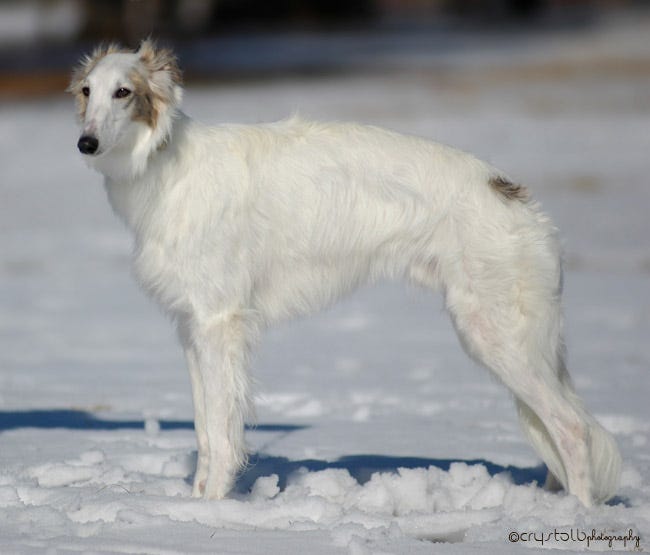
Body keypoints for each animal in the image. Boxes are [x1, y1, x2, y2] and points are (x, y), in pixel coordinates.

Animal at [68, 40, 620, 508]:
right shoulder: (192, 327)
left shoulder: (219, 324)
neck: (165, 164)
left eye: (124, 92)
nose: (85, 144)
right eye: (86, 90)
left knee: (573, 429)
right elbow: (205, 431)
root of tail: (516, 198)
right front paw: (194, 504)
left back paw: (577, 514)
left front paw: (211, 511)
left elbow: (223, 436)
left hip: (496, 333)